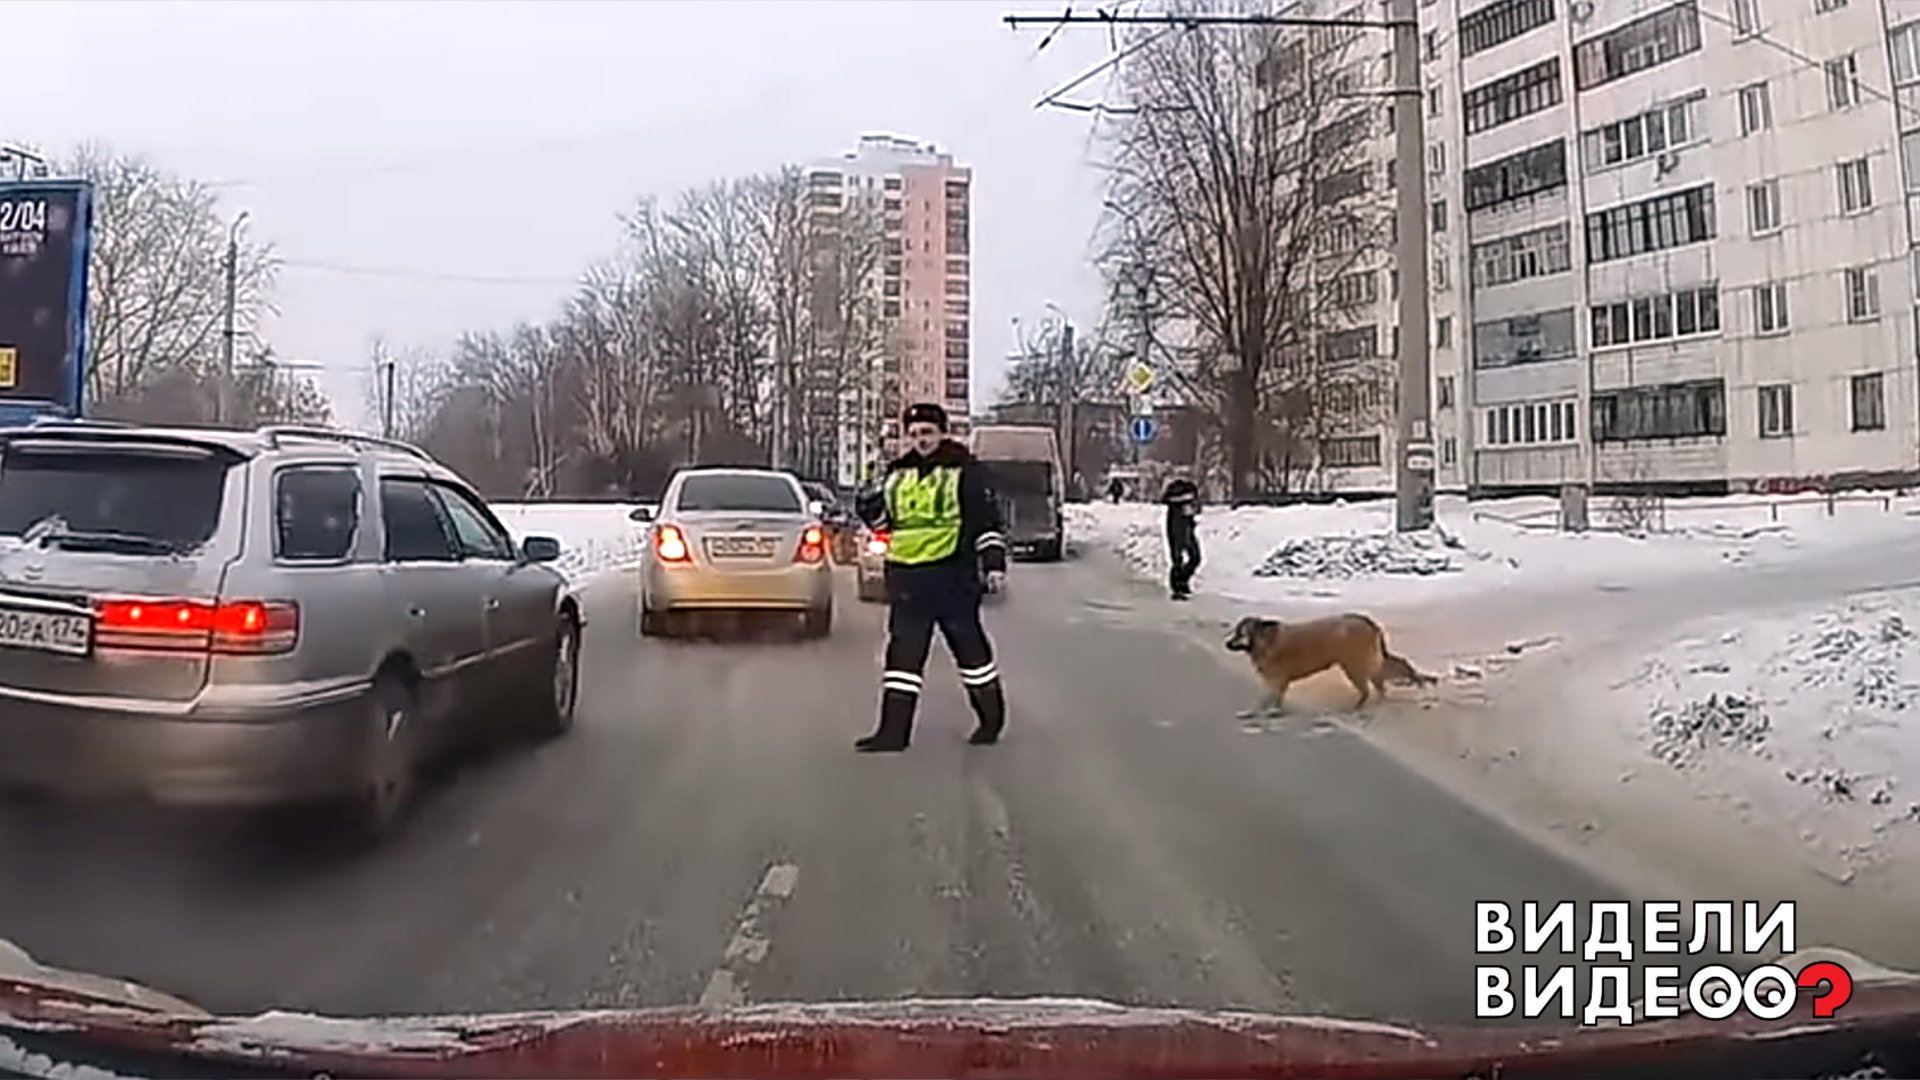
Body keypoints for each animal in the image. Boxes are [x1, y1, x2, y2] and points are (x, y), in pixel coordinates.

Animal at [1221, 611, 1436, 711]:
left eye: (1240, 633)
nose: (1226, 643)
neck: (1266, 641)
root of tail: (1368, 622)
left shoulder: (1277, 680)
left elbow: (1273, 699)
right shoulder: (1275, 682)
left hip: (1354, 666)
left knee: (1370, 688)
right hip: (1368, 664)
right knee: (1382, 681)